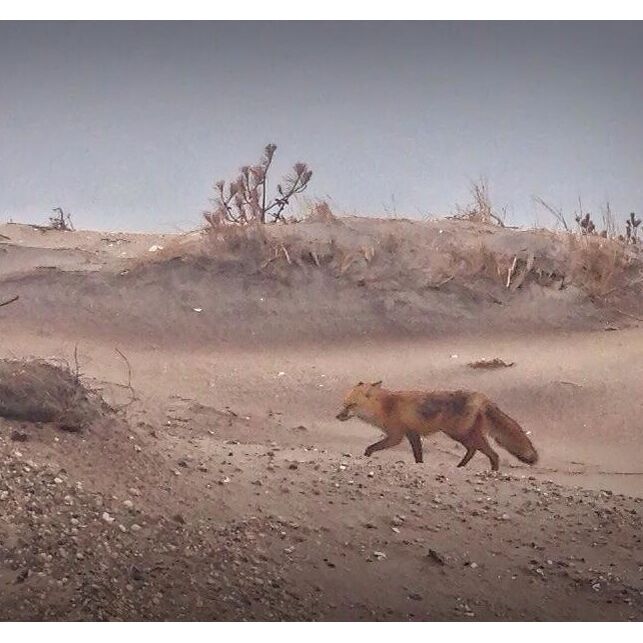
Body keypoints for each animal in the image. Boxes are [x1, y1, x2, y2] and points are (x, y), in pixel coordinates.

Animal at [336, 381, 538, 471]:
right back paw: (460, 466)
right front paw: (420, 465)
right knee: (474, 450)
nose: (337, 416)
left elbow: (370, 447)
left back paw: (491, 471)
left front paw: (366, 457)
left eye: (350, 405)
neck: (386, 407)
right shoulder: (412, 434)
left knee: (492, 454)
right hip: (462, 434)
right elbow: (418, 456)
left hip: (459, 433)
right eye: (343, 404)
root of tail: (481, 396)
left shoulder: (396, 436)